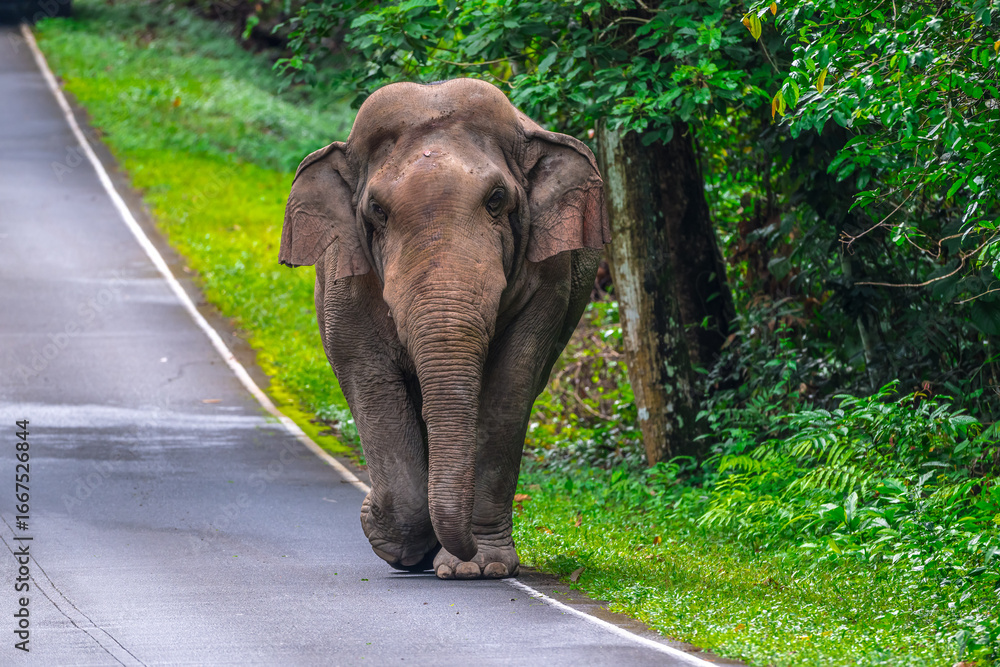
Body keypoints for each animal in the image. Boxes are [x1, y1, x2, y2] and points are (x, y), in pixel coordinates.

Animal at [280, 78, 609, 579]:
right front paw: (387, 536)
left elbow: (511, 387)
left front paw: (478, 568)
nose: (366, 509)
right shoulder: (343, 273)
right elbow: (367, 376)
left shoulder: (549, 278)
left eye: (496, 200)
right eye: (377, 210)